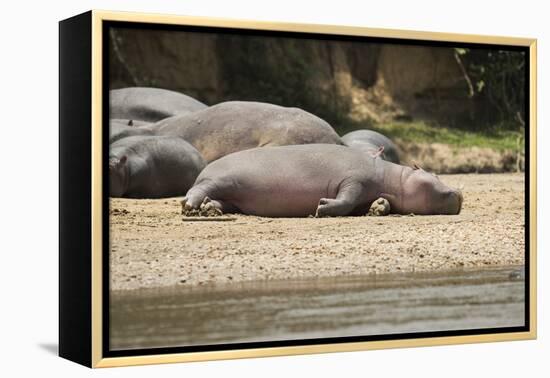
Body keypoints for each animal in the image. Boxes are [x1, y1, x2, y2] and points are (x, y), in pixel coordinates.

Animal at [184, 144, 466, 217]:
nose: (460, 192)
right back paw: (189, 207)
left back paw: (208, 210)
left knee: (218, 201)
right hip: (222, 180)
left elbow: (373, 202)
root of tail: (205, 167)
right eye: (434, 174)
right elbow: (345, 199)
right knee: (199, 188)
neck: (394, 177)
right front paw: (321, 207)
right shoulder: (354, 180)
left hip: (233, 197)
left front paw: (379, 208)